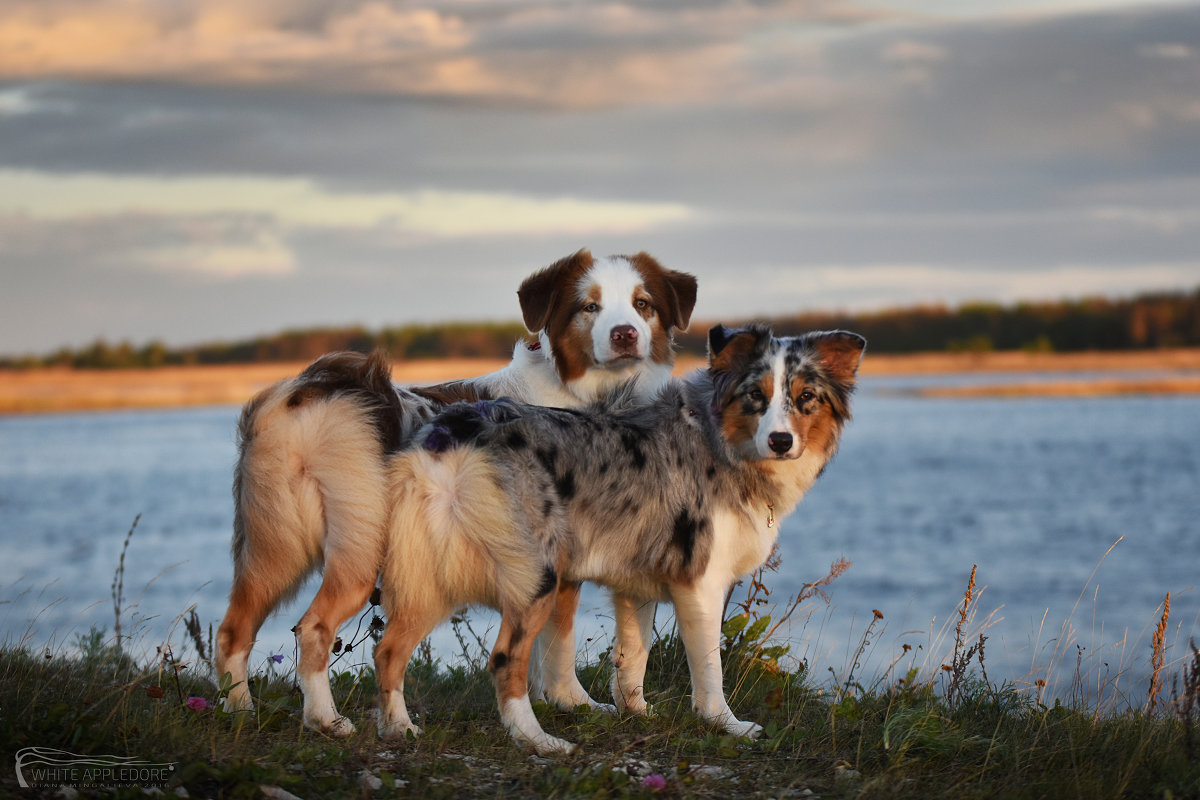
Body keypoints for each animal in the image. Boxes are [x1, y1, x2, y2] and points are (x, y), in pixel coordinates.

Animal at [217, 250, 700, 738]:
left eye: (642, 304)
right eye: (590, 307)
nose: (625, 335)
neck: (587, 392)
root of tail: (307, 392)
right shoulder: (563, 557)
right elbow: (559, 642)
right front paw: (573, 703)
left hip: (275, 546)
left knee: (234, 629)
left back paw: (237, 710)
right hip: (358, 546)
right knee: (314, 627)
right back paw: (328, 720)